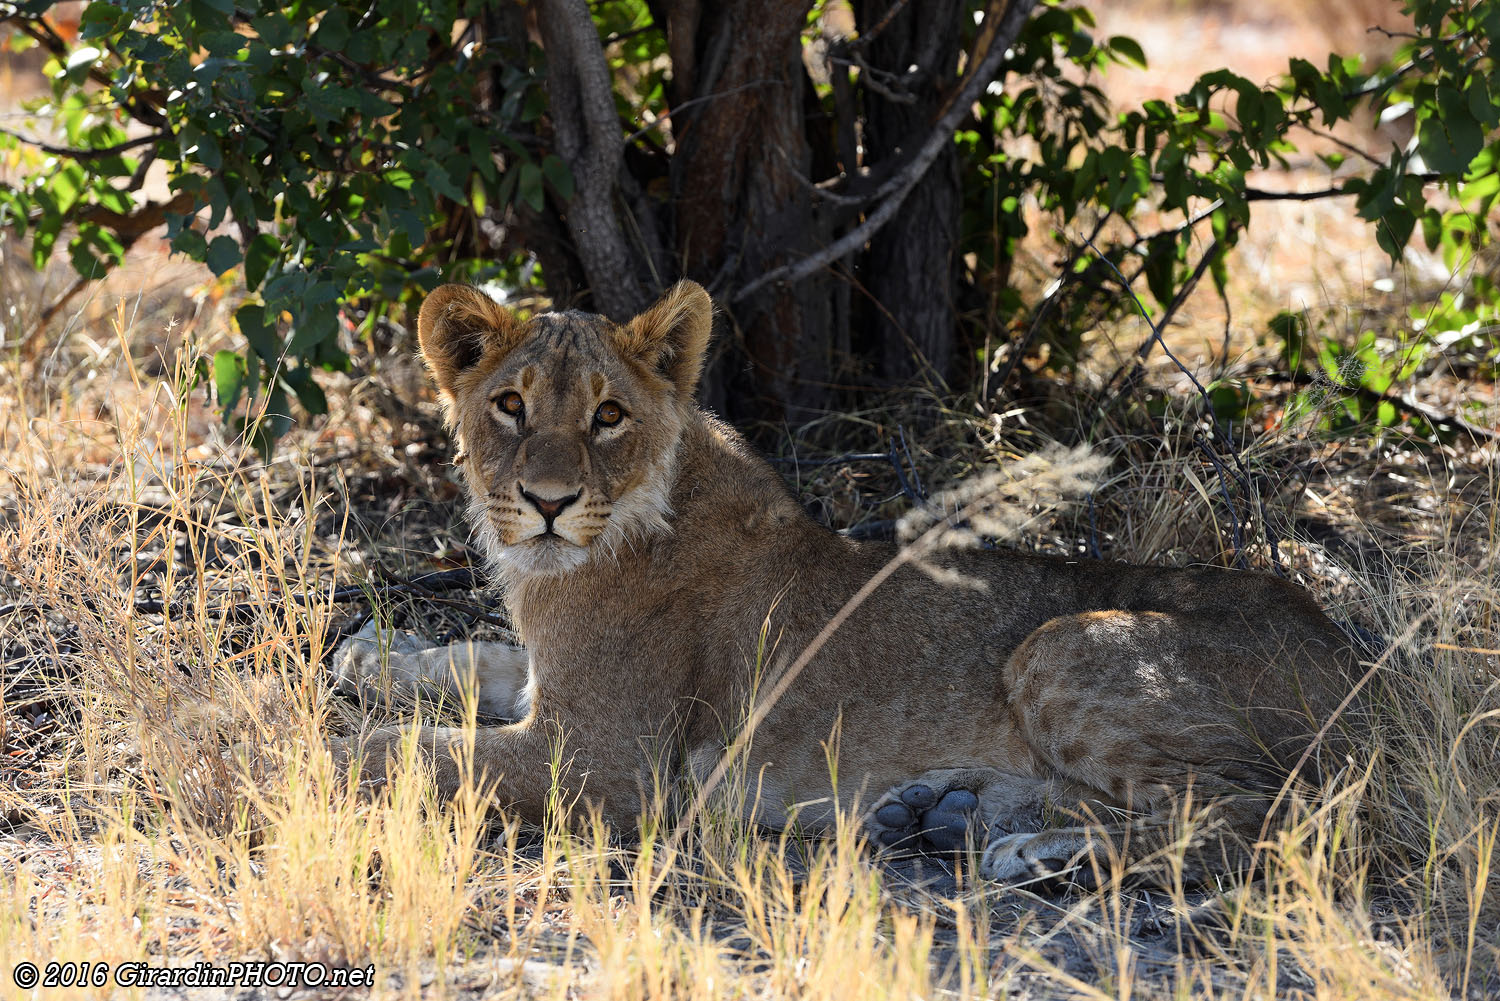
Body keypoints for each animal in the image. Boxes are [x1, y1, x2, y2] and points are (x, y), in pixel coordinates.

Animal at [334, 279, 1363, 886]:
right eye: (509, 404)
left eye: (610, 415)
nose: (548, 501)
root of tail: (1354, 659)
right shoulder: (552, 686)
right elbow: (476, 659)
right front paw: (377, 650)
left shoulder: (600, 760)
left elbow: (398, 749)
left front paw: (300, 747)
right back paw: (946, 813)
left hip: (1061, 644)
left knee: (1260, 818)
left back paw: (1030, 851)